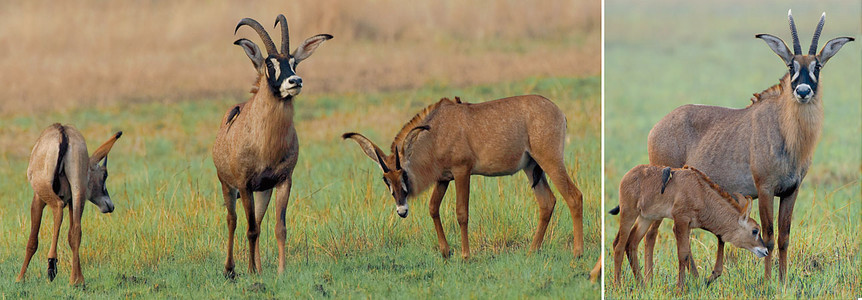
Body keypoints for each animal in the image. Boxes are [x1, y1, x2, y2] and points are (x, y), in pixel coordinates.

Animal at [16, 123, 123, 284]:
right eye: (104, 175)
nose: (110, 205)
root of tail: (63, 132)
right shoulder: (72, 201)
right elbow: (72, 234)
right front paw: (79, 278)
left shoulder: (38, 200)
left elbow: (32, 240)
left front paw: (20, 277)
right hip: (78, 192)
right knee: (76, 231)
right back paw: (75, 280)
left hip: (47, 190)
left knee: (58, 208)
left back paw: (52, 265)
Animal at [213, 13, 334, 276]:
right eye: (270, 65)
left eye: (294, 62)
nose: (295, 81)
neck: (266, 144)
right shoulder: (244, 185)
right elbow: (249, 229)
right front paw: (249, 271)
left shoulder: (283, 182)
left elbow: (279, 228)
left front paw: (281, 271)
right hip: (228, 186)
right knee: (233, 220)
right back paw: (230, 269)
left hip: (263, 191)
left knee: (258, 222)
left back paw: (258, 267)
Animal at [344, 95, 588, 258]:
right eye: (386, 179)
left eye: (402, 173)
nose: (402, 210)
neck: (435, 133)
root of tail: (559, 112)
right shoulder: (443, 179)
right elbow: (433, 208)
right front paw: (445, 252)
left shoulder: (462, 171)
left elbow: (462, 213)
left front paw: (465, 255)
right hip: (530, 167)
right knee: (547, 202)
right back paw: (531, 251)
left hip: (550, 160)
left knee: (574, 196)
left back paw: (577, 253)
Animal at [612, 165, 772, 290]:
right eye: (755, 230)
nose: (764, 251)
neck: (700, 192)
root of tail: (628, 175)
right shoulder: (680, 221)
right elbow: (682, 254)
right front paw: (680, 288)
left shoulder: (688, 225)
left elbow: (687, 254)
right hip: (629, 213)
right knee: (619, 246)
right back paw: (617, 286)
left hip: (646, 218)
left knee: (631, 243)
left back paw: (642, 285)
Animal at [636, 8, 856, 282]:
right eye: (791, 65)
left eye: (817, 65)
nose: (803, 91)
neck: (786, 130)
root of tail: (656, 128)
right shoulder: (765, 189)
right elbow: (769, 236)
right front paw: (768, 281)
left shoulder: (791, 191)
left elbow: (784, 237)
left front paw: (783, 281)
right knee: (652, 233)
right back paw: (648, 280)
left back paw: (694, 278)